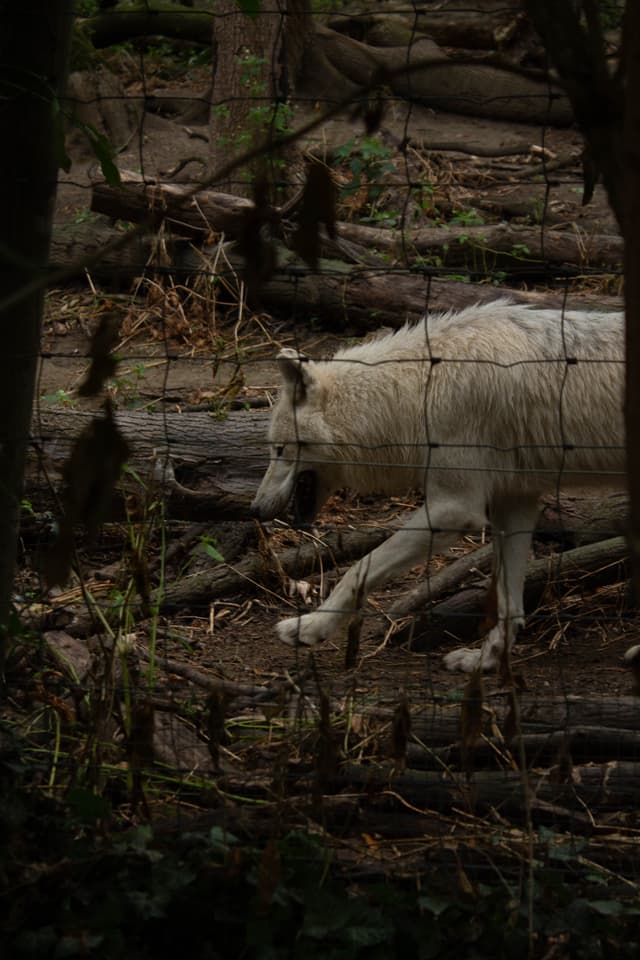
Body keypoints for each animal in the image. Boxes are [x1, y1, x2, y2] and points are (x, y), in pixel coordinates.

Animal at [251, 300, 626, 672]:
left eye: (280, 450)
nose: (254, 509)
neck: (413, 391)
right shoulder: (514, 504)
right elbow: (508, 603)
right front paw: (485, 661)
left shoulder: (455, 509)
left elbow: (359, 568)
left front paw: (311, 627)